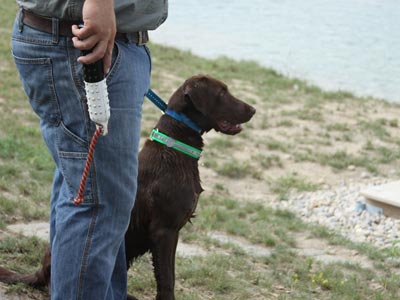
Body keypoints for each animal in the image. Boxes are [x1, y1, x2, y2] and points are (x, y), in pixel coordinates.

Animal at [0, 75, 256, 300]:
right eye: (222, 92)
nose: (253, 109)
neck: (175, 145)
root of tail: (40, 270)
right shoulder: (165, 231)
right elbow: (167, 281)